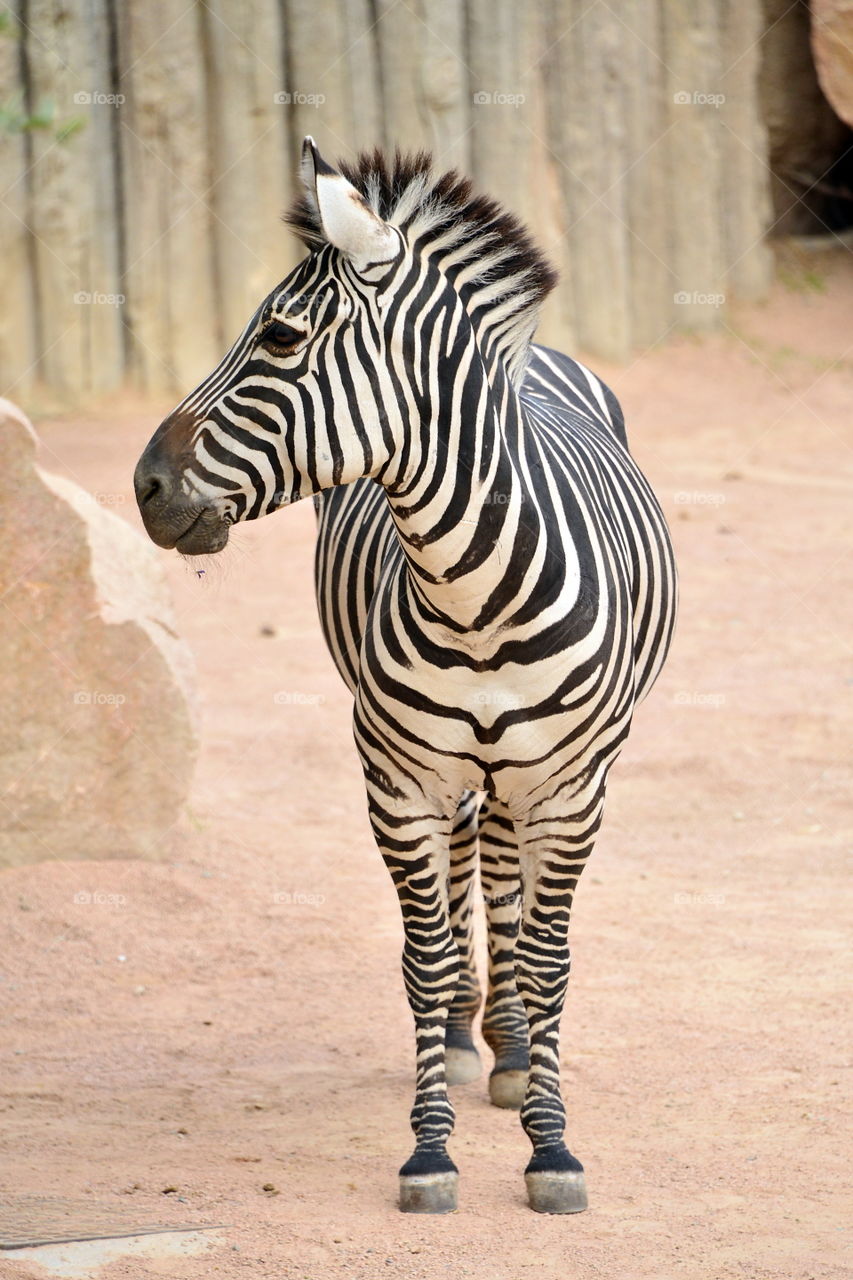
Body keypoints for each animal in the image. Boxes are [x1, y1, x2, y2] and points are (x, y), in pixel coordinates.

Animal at [134, 137, 677, 1215]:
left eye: (281, 338)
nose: (144, 486)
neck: (475, 595)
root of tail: (548, 356)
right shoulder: (399, 780)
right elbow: (423, 960)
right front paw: (429, 1152)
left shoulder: (572, 788)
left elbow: (551, 959)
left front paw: (551, 1146)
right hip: (451, 770)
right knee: (474, 863)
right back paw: (476, 1038)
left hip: (525, 775)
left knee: (503, 877)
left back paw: (513, 1050)